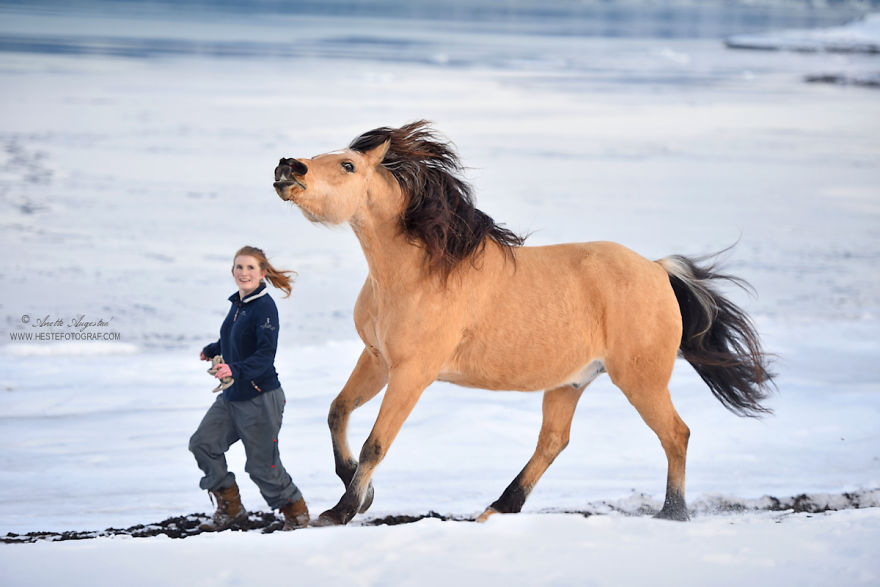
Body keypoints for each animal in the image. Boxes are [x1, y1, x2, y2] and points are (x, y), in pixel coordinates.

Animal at [273, 120, 774, 526]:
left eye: (348, 165)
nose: (288, 167)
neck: (417, 272)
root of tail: (656, 270)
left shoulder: (412, 373)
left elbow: (377, 442)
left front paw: (341, 511)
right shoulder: (377, 358)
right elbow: (338, 411)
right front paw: (360, 493)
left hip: (641, 379)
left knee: (675, 434)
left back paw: (672, 513)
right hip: (570, 383)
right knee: (554, 441)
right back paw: (498, 509)